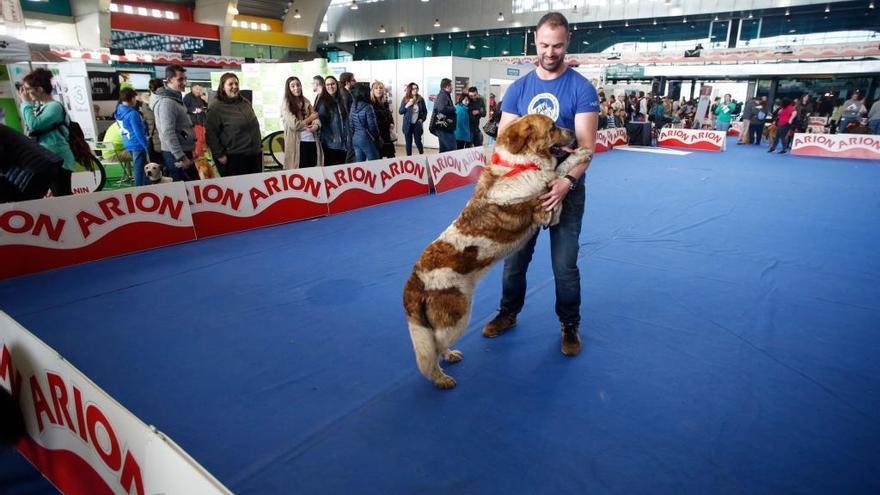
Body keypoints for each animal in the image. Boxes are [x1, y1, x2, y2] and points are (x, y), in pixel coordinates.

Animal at [404, 114, 592, 390]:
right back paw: (442, 379)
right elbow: (557, 172)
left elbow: (556, 174)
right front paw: (581, 154)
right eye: (552, 128)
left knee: (437, 346)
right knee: (434, 350)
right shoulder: (546, 210)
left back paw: (450, 356)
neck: (522, 164)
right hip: (457, 317)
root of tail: (414, 282)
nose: (573, 133)